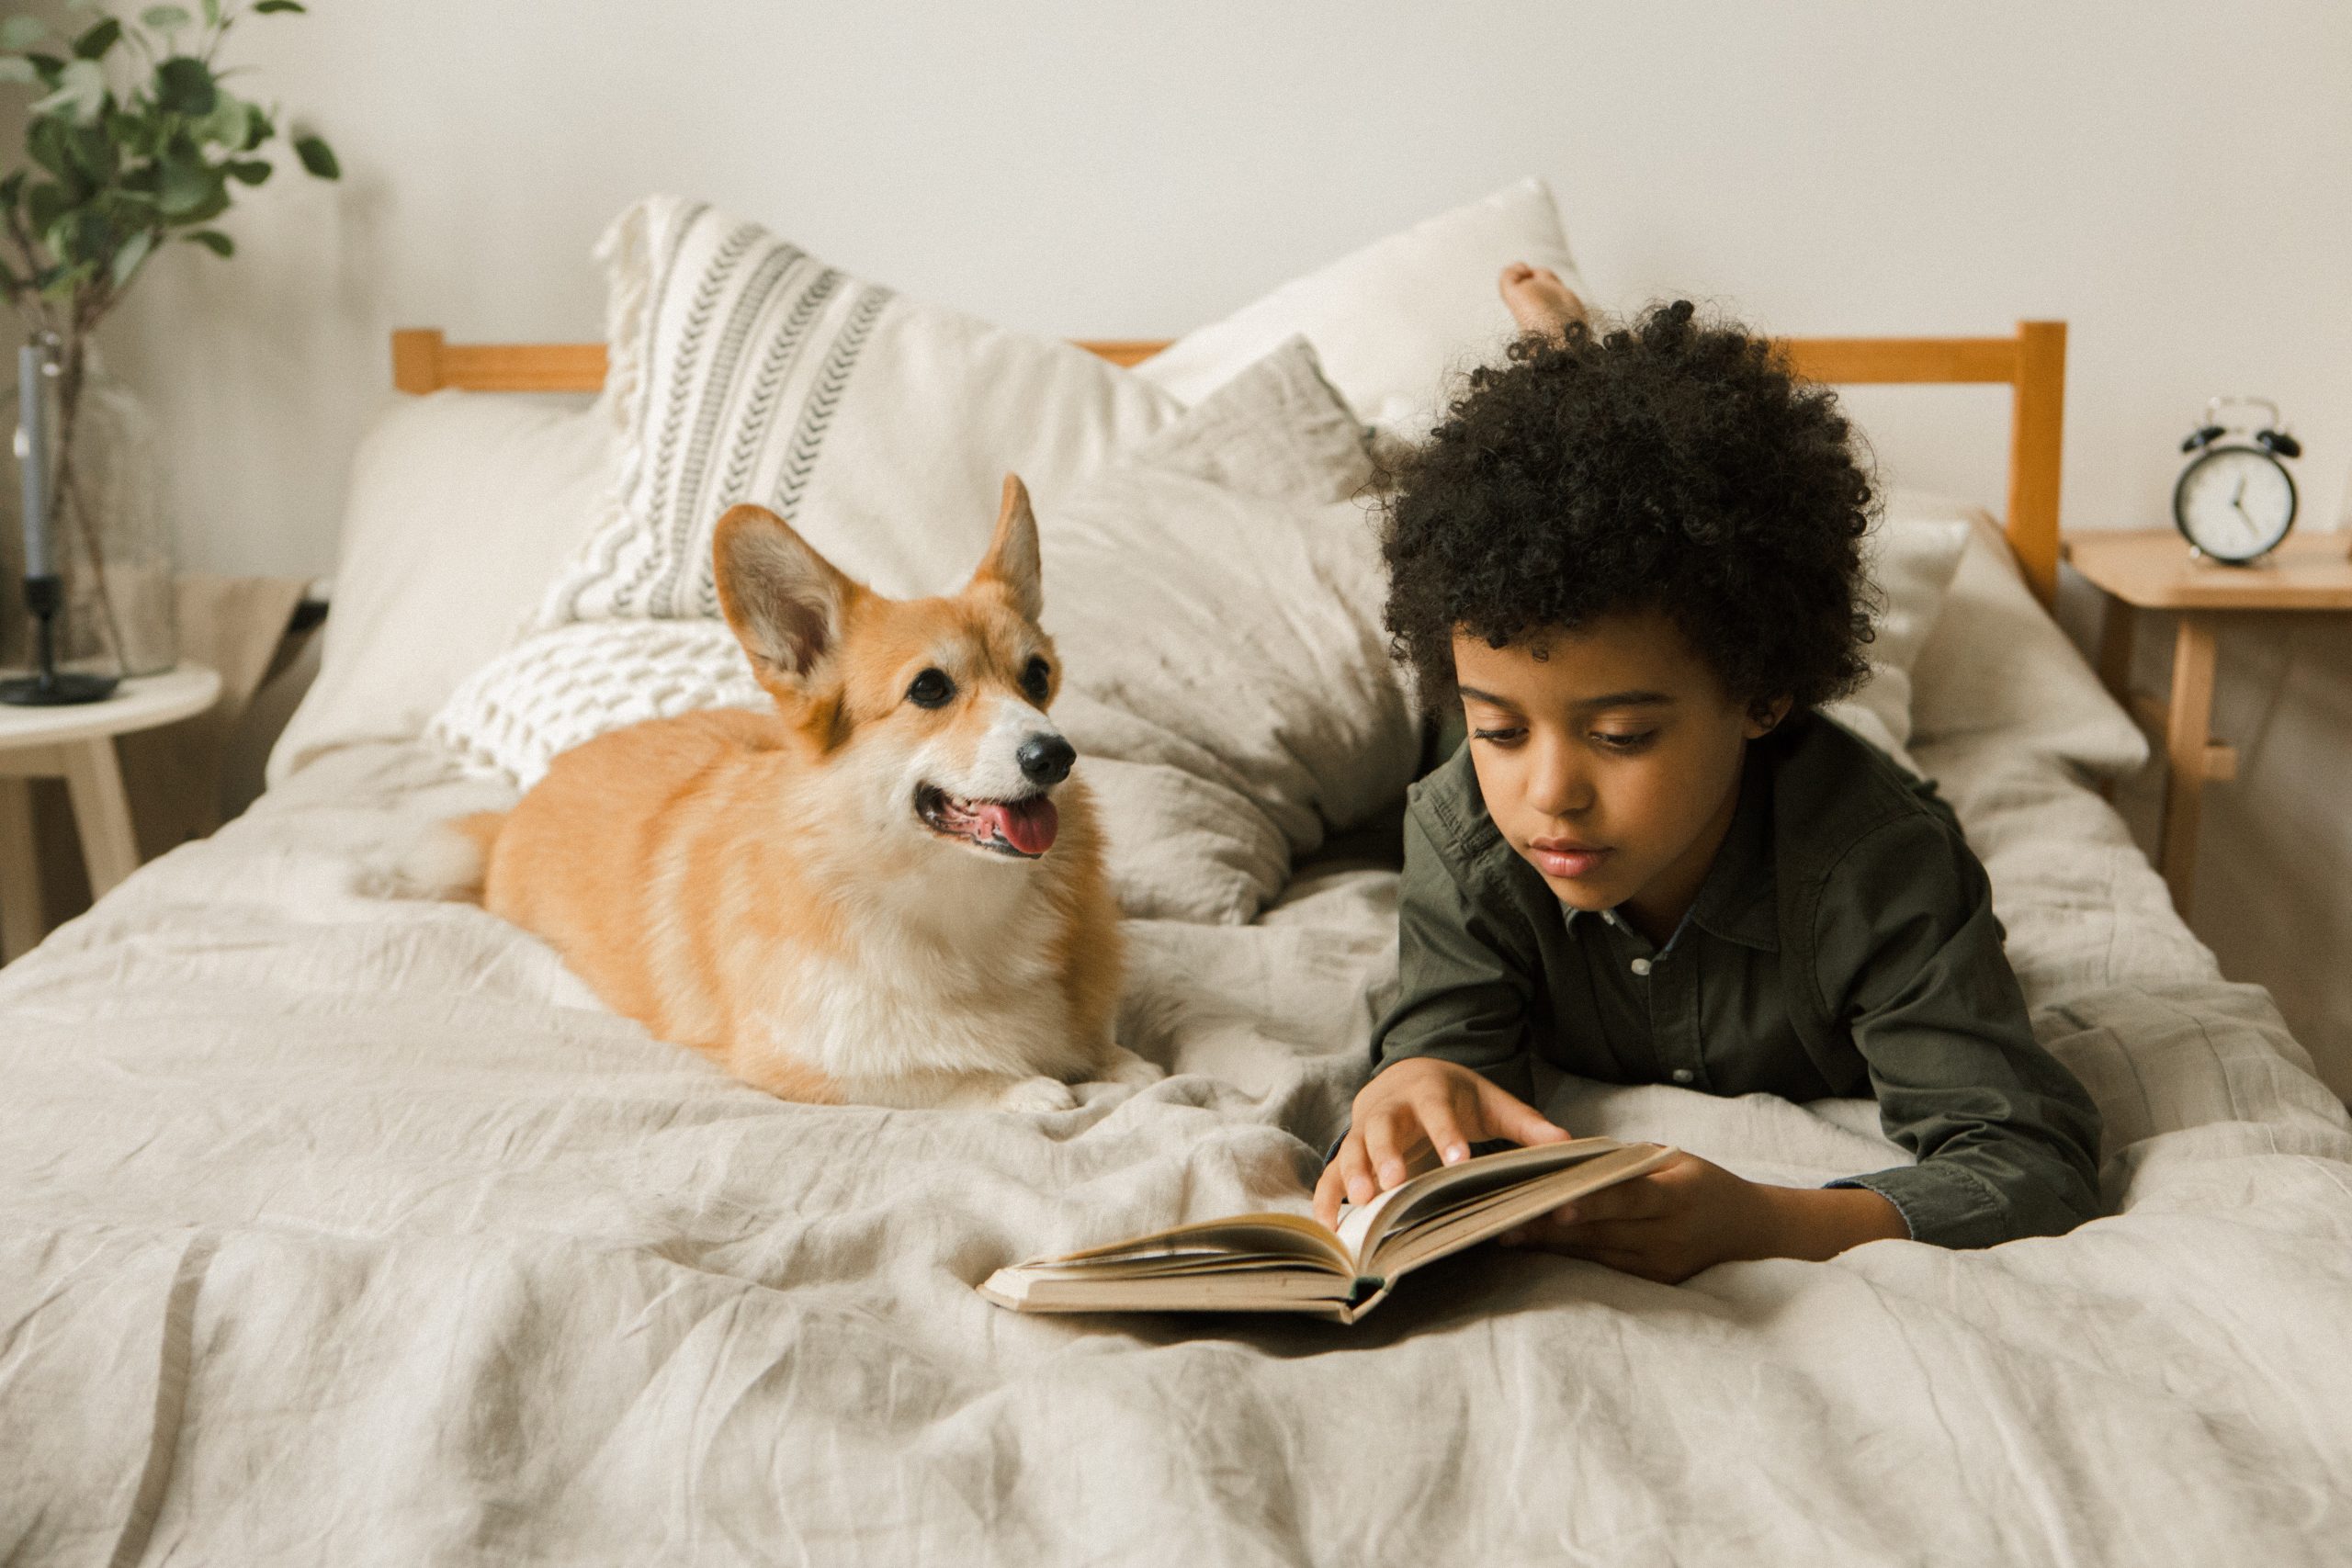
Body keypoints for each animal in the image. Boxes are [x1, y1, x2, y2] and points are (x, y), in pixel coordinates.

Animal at [454, 481, 1152, 1114]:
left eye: (1037, 676)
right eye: (929, 689)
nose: (1055, 756)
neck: (962, 903)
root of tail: (518, 807)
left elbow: (1116, 1056)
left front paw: (1120, 1066)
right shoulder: (802, 1063)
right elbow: (936, 1076)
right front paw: (1025, 1087)